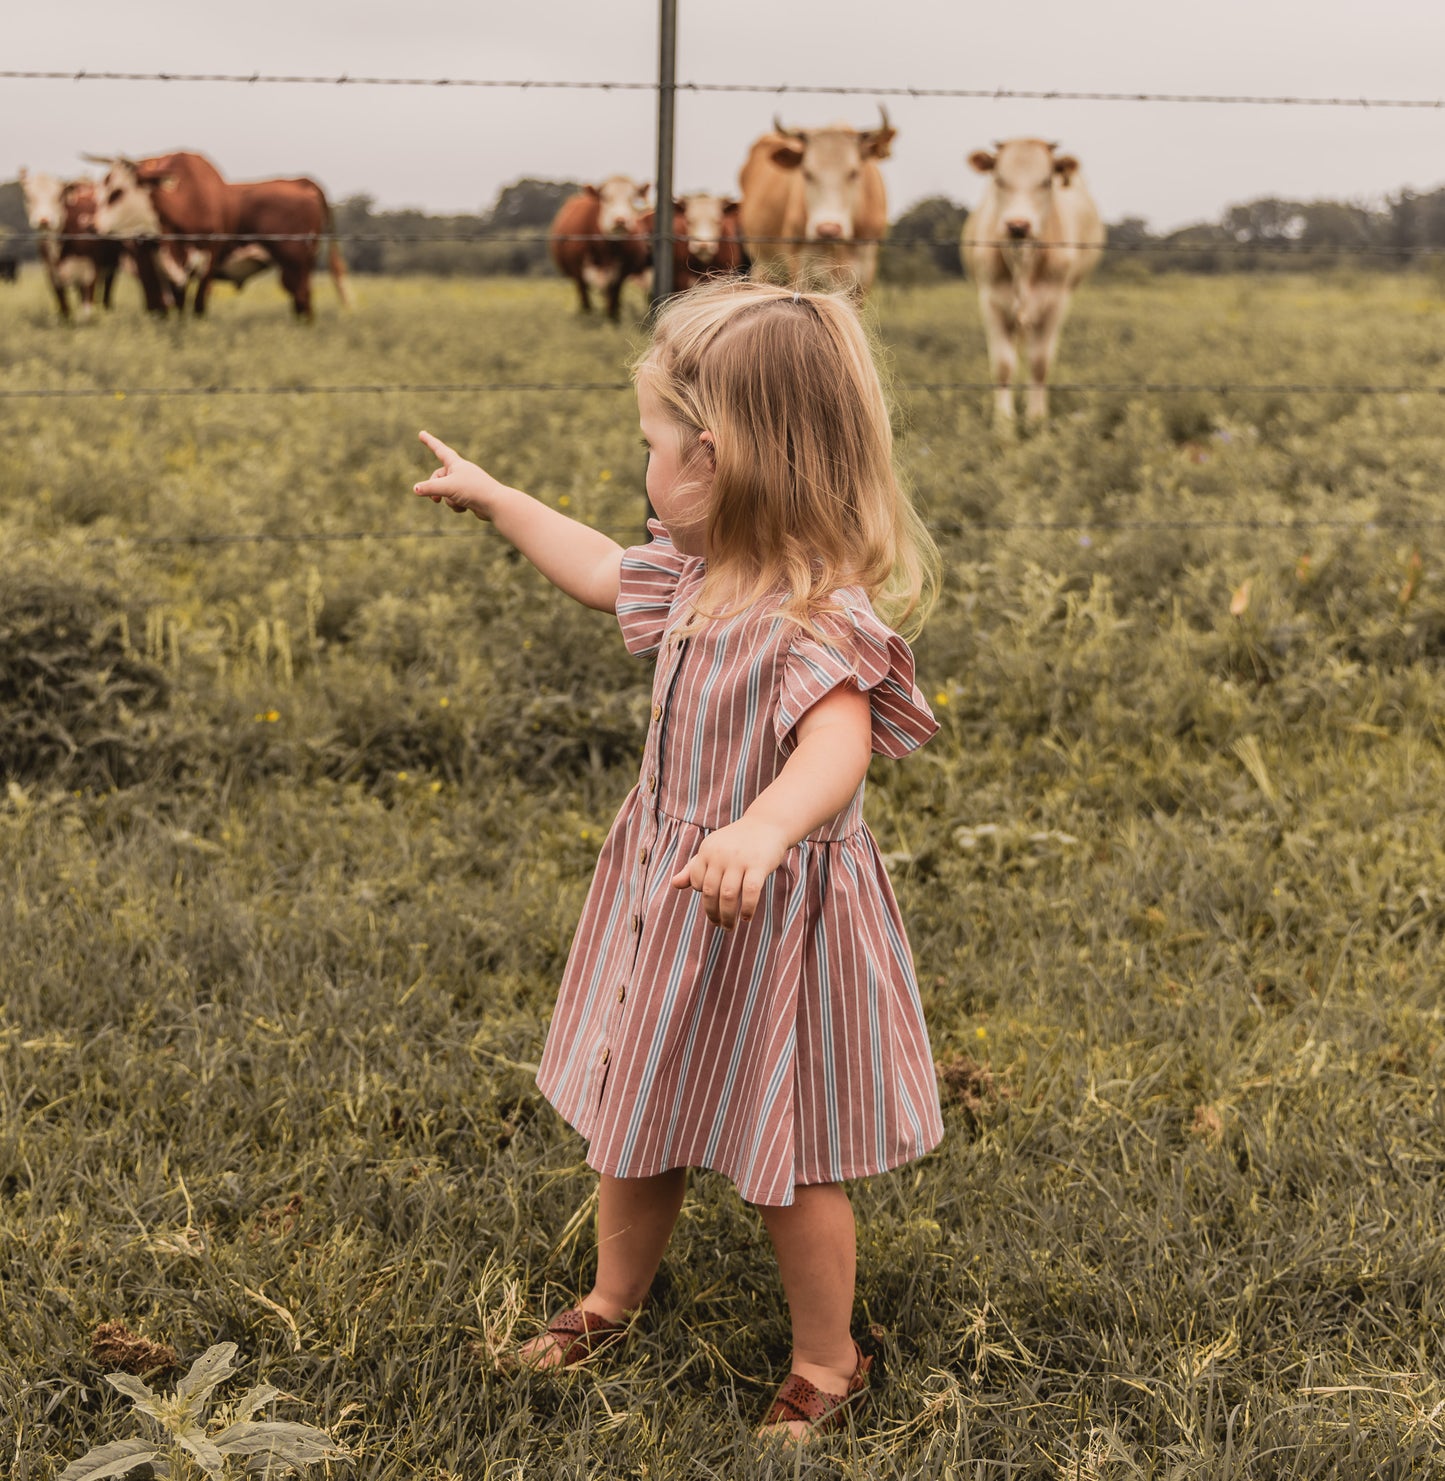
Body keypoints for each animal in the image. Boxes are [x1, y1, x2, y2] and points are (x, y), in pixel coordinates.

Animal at [18, 168, 125, 318]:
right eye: (28, 197)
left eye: (59, 196)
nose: (44, 220)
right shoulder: (53, 275)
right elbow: (65, 309)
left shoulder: (90, 272)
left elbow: (87, 311)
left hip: (111, 264)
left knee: (107, 290)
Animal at [89, 150, 352, 318]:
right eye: (101, 189)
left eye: (117, 192)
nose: (92, 227)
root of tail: (300, 181)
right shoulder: (149, 262)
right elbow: (162, 307)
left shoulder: (208, 258)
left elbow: (197, 306)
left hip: (295, 262)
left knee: (302, 299)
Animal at [547, 174, 648, 322]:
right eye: (605, 197)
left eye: (632, 198)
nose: (620, 220)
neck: (606, 251)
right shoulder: (578, 273)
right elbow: (586, 304)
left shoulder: (621, 274)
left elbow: (613, 304)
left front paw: (612, 321)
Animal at [740, 108, 900, 297]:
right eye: (807, 173)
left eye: (854, 172)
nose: (828, 229)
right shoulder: (798, 263)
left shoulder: (864, 268)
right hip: (762, 262)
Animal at [959, 139, 1107, 426]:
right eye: (999, 179)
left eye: (1046, 181)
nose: (1018, 225)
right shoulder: (991, 300)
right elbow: (1003, 365)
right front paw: (1004, 422)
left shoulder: (1056, 302)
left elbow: (1040, 363)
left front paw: (1036, 418)